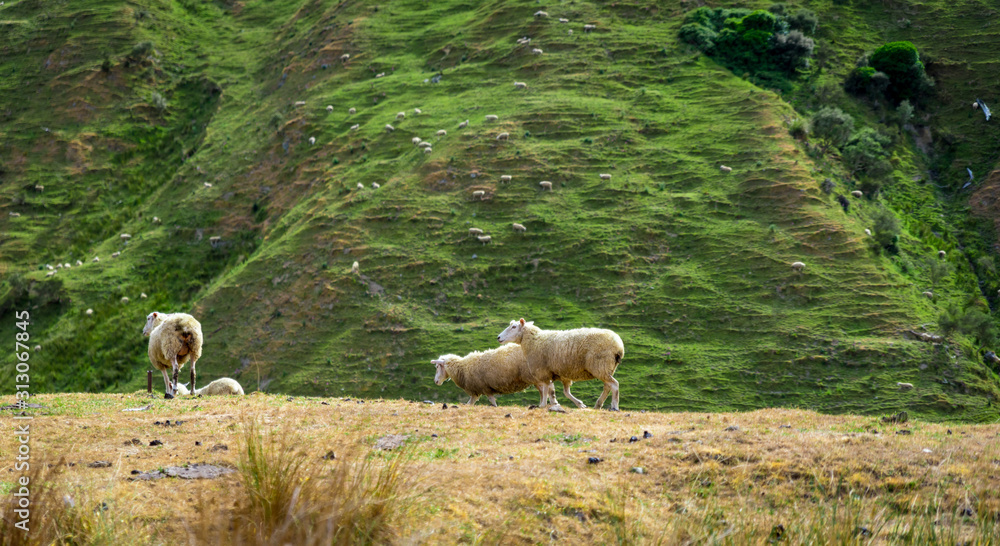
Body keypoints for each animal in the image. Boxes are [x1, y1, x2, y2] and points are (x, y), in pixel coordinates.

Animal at [497, 318, 625, 410]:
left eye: (513, 327)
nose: (498, 337)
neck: (535, 341)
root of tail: (619, 345)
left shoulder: (543, 371)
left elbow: (546, 389)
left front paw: (542, 405)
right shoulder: (562, 374)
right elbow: (562, 392)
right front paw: (579, 404)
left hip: (600, 365)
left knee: (614, 385)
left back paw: (614, 406)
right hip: (607, 368)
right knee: (607, 386)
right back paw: (598, 405)